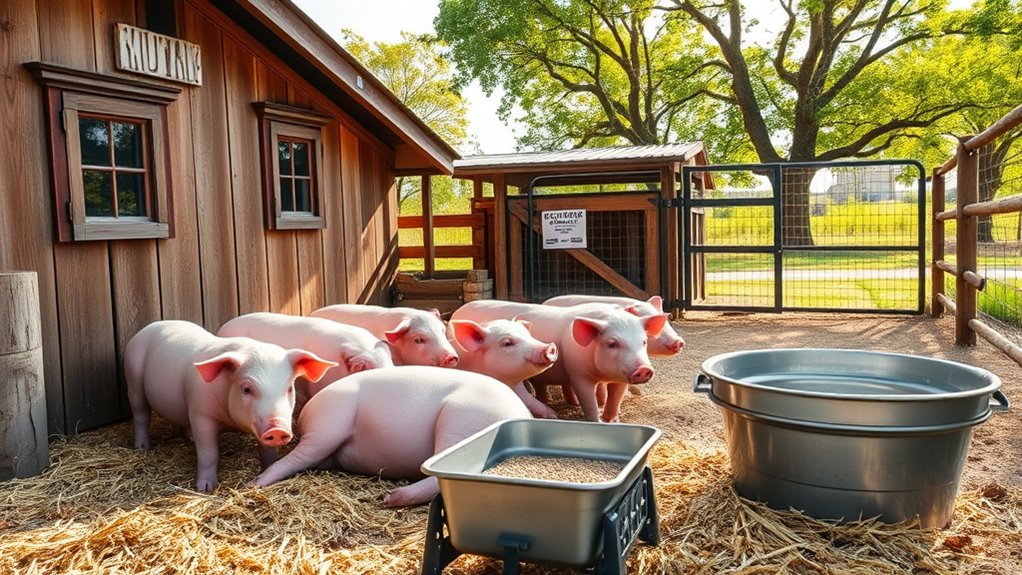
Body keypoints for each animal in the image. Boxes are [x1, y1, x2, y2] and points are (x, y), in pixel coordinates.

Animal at [124, 320, 337, 492]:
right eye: (246, 389)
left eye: (289, 388)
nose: (277, 429)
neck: (229, 421)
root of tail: (147, 328)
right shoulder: (201, 413)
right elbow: (208, 452)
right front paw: (206, 488)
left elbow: (267, 451)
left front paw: (266, 469)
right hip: (133, 380)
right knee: (141, 415)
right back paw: (142, 448)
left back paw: (190, 439)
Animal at [452, 301, 668, 423]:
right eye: (612, 344)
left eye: (643, 341)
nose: (644, 369)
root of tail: (457, 311)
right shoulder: (578, 374)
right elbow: (588, 401)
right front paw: (596, 420)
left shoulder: (620, 378)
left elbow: (615, 398)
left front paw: (613, 421)